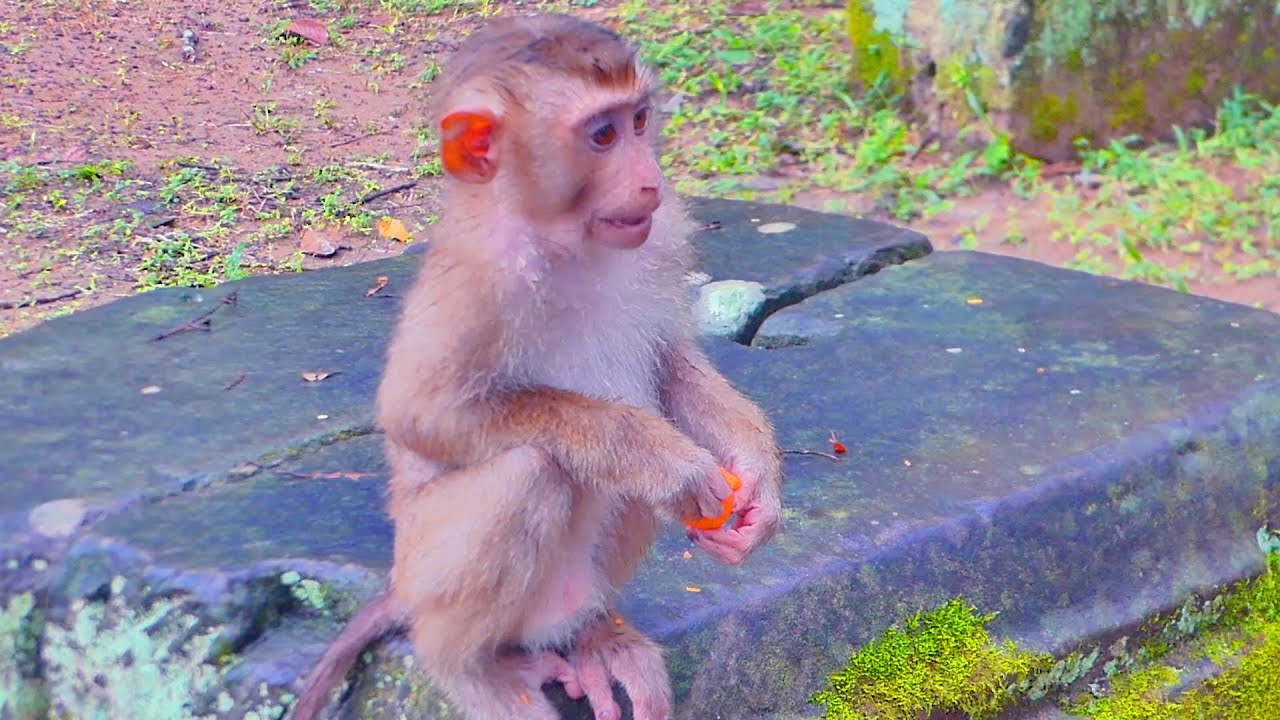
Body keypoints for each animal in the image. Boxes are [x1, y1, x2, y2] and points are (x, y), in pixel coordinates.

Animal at [288, 13, 783, 720]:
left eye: (638, 121)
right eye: (602, 135)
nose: (650, 180)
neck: (570, 240)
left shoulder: (660, 237)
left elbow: (669, 367)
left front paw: (759, 481)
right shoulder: (481, 279)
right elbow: (423, 414)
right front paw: (662, 457)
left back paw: (594, 637)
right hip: (427, 569)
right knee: (529, 469)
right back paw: (466, 668)